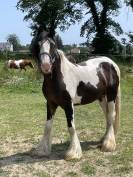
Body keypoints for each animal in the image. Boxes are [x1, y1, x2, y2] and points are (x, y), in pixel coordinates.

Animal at [30, 29, 120, 160]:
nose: (46, 66)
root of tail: (111, 63)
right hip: (102, 97)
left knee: (111, 115)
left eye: (53, 45)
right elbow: (47, 126)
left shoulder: (68, 105)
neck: (59, 78)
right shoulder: (50, 103)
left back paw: (108, 145)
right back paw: (103, 140)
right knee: (107, 116)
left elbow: (71, 127)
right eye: (38, 45)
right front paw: (43, 150)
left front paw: (73, 153)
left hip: (111, 96)